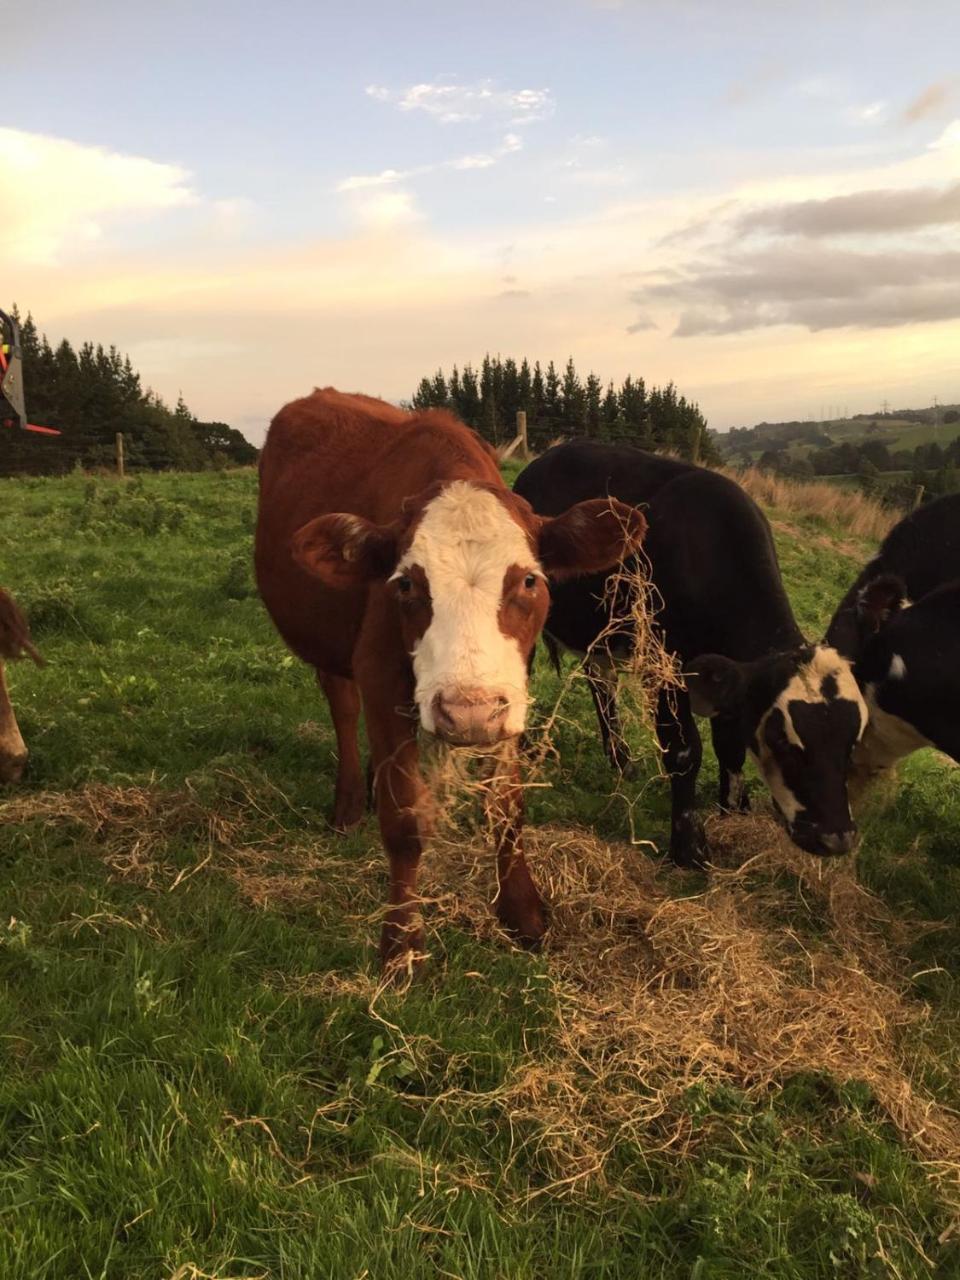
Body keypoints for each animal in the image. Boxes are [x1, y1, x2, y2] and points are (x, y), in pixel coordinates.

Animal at [256, 389, 647, 967]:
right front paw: (400, 943)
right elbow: (404, 822)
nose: (466, 712)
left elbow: (507, 808)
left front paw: (523, 913)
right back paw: (349, 803)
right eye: (405, 584)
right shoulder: (381, 678)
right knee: (342, 706)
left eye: (529, 580)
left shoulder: (508, 694)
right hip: (329, 645)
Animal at [519, 440, 870, 870]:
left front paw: (733, 812)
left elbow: (730, 744)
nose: (836, 838)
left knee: (601, 682)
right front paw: (688, 847)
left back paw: (621, 761)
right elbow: (684, 751)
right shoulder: (664, 664)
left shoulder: (730, 678)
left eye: (853, 738)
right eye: (782, 739)